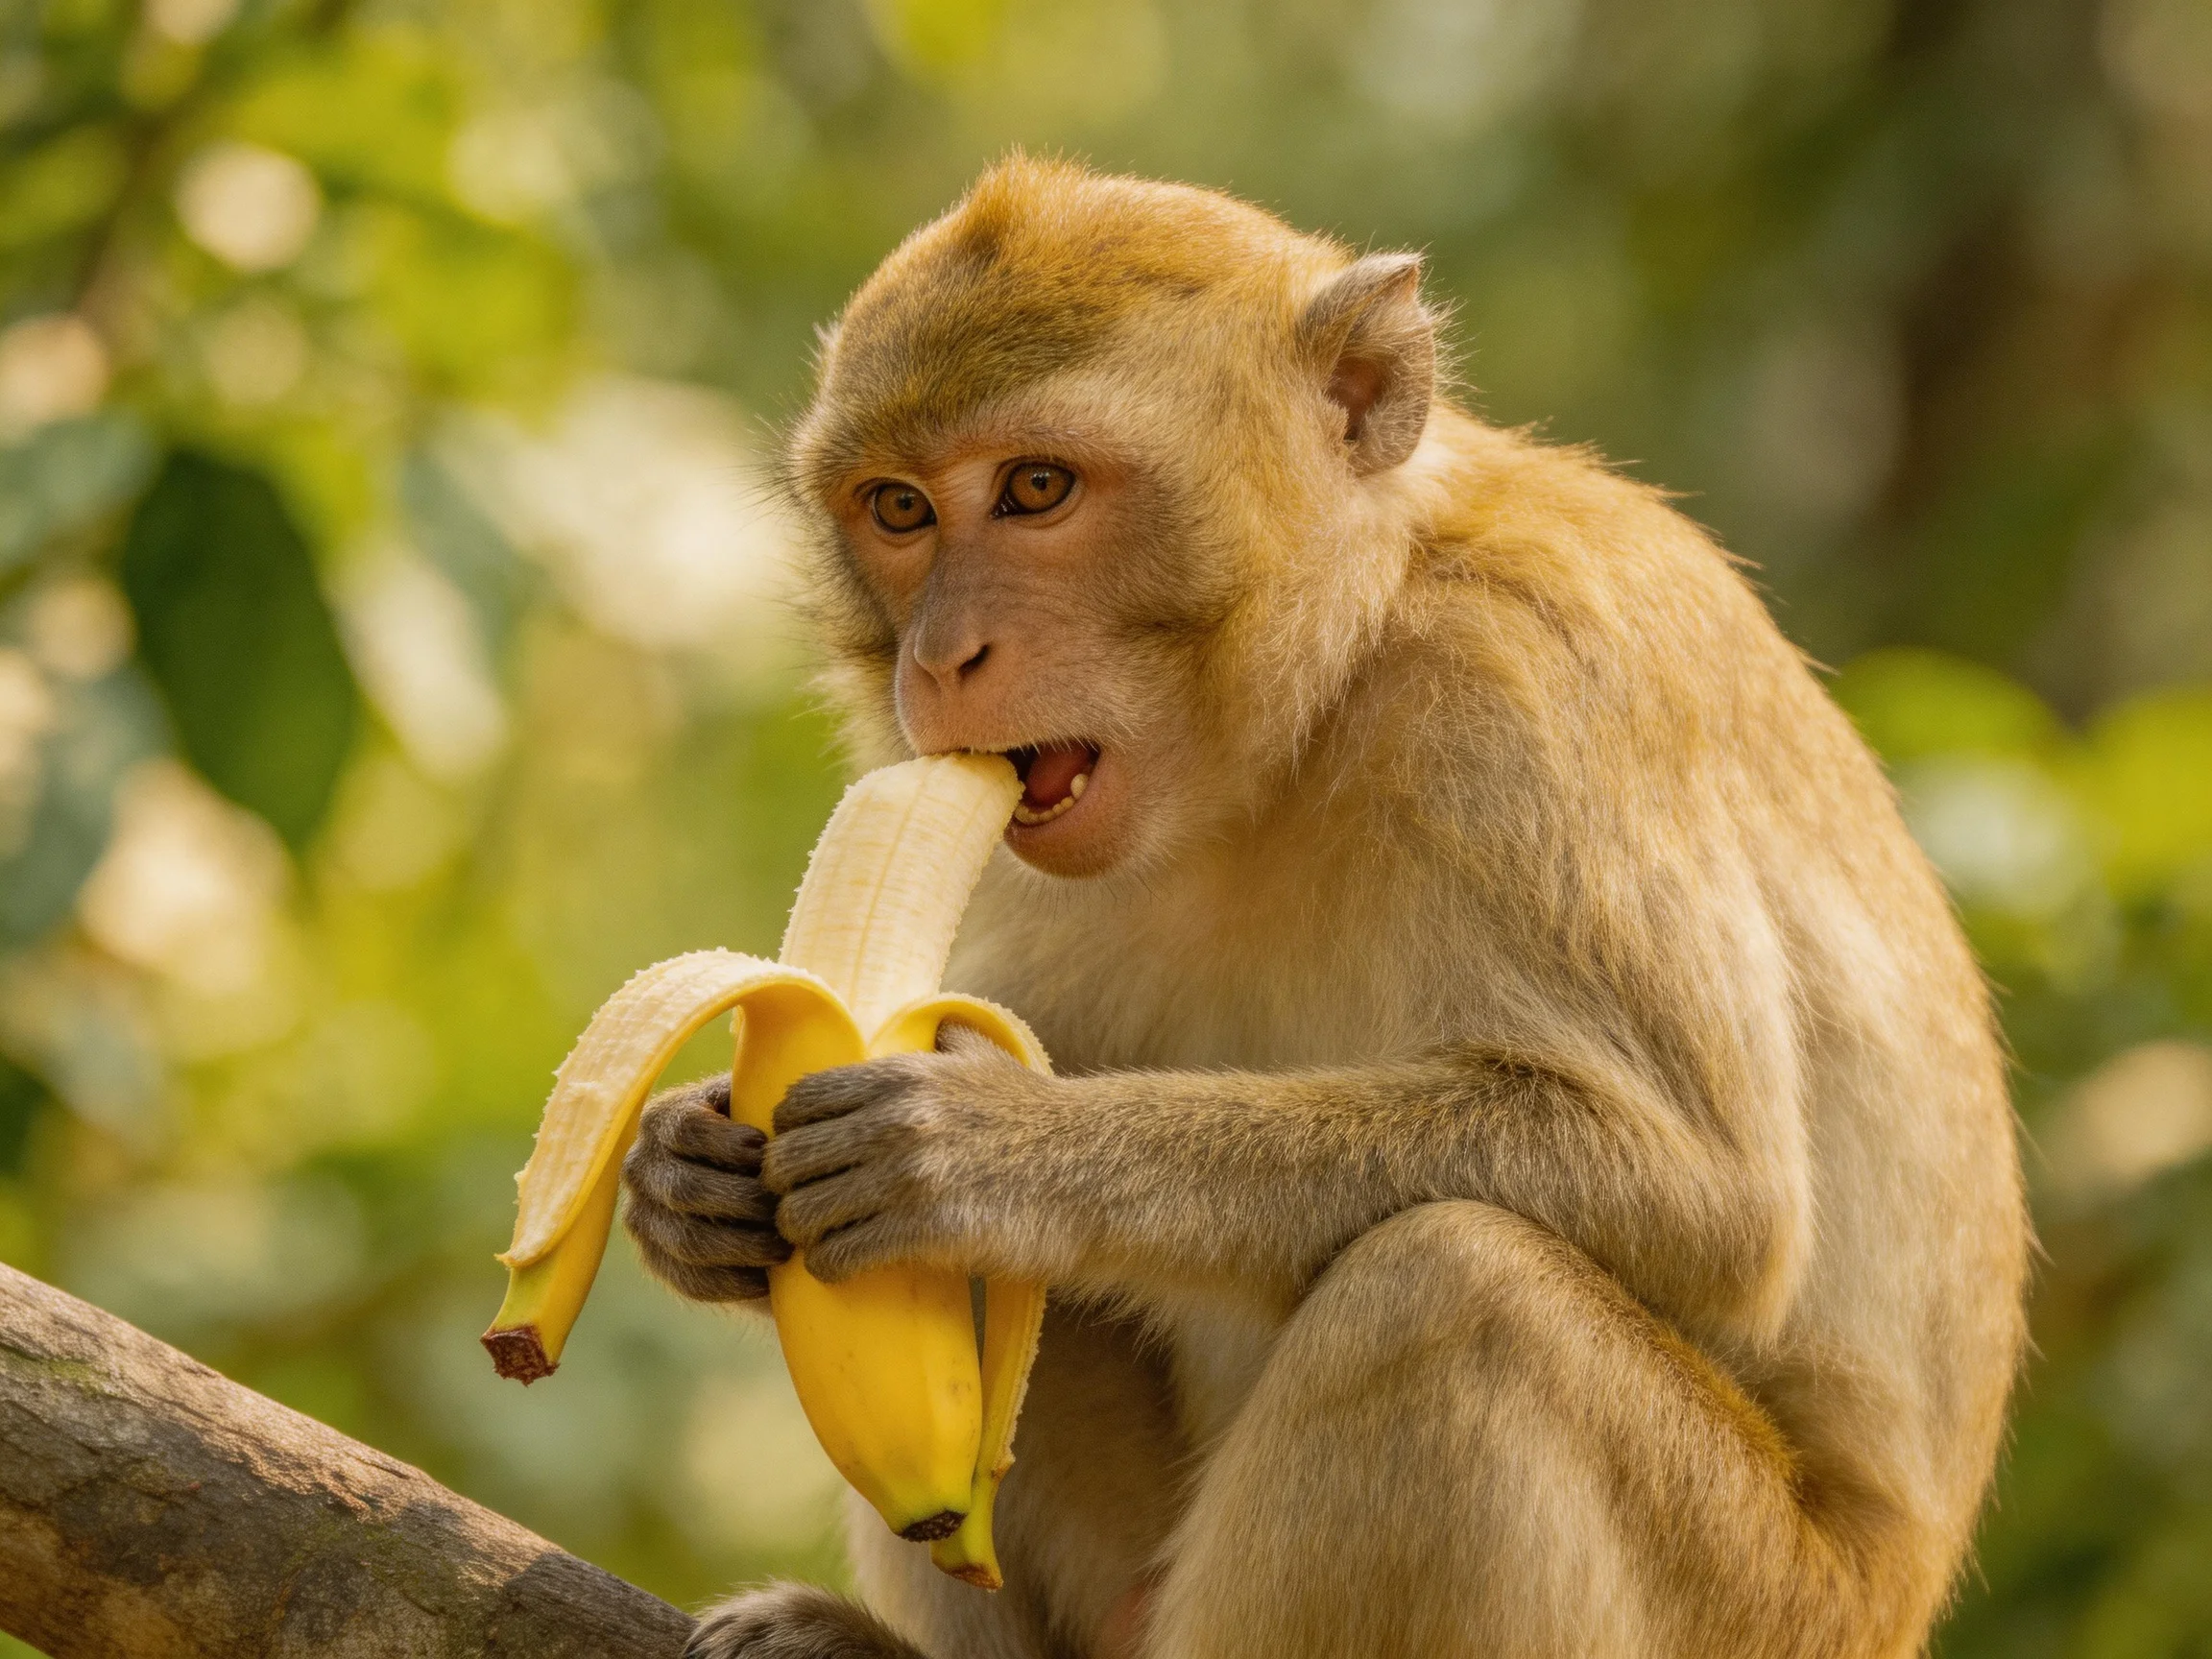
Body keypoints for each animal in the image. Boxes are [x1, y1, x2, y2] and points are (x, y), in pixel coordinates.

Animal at [620, 156, 2028, 1659]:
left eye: (1036, 488)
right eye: (898, 510)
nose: (943, 659)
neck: (1327, 691)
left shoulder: (1527, 682)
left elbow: (1703, 1194)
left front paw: (992, 1151)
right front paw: (683, 1171)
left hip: (1761, 1606)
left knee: (1454, 1297)